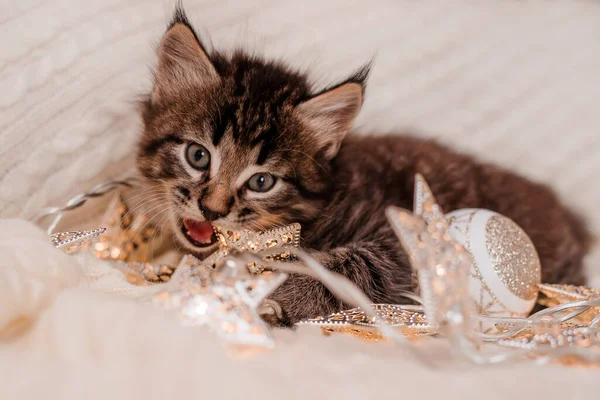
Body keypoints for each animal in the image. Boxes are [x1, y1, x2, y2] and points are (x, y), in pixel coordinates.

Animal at [136, 7, 592, 324]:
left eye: (262, 181)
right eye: (198, 156)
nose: (212, 210)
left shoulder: (404, 235)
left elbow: (347, 266)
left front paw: (276, 296)